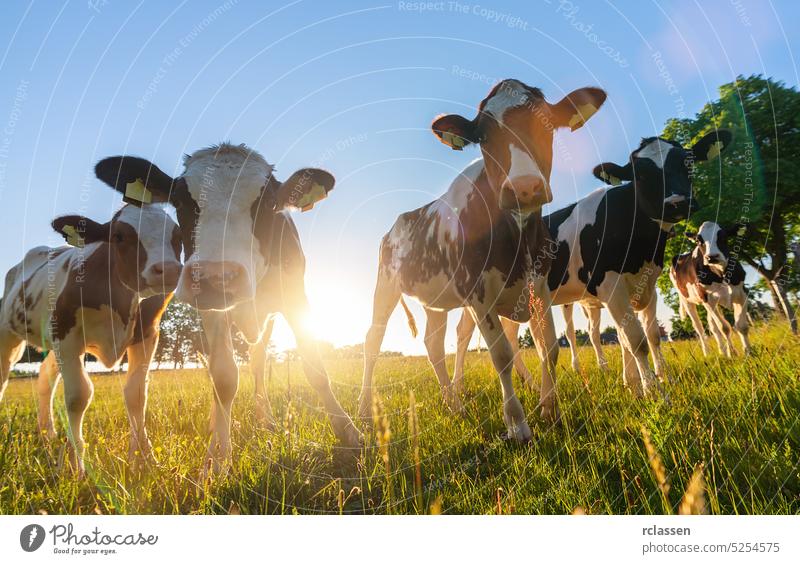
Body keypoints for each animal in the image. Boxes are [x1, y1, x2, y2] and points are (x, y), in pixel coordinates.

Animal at [0, 203, 181, 472]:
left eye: (177, 236)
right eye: (119, 236)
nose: (168, 269)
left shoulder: (148, 333)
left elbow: (137, 394)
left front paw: (143, 459)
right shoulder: (67, 334)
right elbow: (78, 396)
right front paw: (74, 464)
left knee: (45, 377)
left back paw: (48, 432)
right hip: (10, 332)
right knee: (4, 375)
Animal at [92, 142, 360, 472]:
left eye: (267, 203)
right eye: (181, 201)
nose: (215, 277)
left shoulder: (295, 295)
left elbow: (314, 366)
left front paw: (349, 433)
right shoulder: (212, 312)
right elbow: (223, 377)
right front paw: (218, 457)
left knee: (258, 362)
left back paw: (266, 419)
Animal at [356, 79, 608, 440]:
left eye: (546, 125)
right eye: (484, 137)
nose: (524, 187)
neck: (517, 237)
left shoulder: (541, 287)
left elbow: (549, 347)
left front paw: (551, 411)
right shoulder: (477, 294)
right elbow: (501, 354)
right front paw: (517, 425)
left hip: (435, 301)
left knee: (433, 345)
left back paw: (455, 405)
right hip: (385, 285)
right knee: (372, 341)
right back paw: (364, 411)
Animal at [450, 132, 732, 396]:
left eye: (688, 162)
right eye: (640, 174)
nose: (676, 202)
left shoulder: (648, 285)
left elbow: (647, 336)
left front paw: (646, 382)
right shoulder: (609, 284)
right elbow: (635, 339)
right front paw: (653, 391)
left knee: (509, 335)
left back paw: (530, 384)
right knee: (463, 333)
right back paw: (457, 388)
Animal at [668, 221, 752, 356]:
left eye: (723, 236)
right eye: (698, 241)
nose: (711, 257)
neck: (721, 274)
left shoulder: (742, 293)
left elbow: (741, 326)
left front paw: (749, 352)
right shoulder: (707, 299)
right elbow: (724, 327)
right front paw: (732, 354)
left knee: (712, 326)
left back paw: (722, 351)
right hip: (688, 301)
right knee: (699, 328)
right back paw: (707, 353)